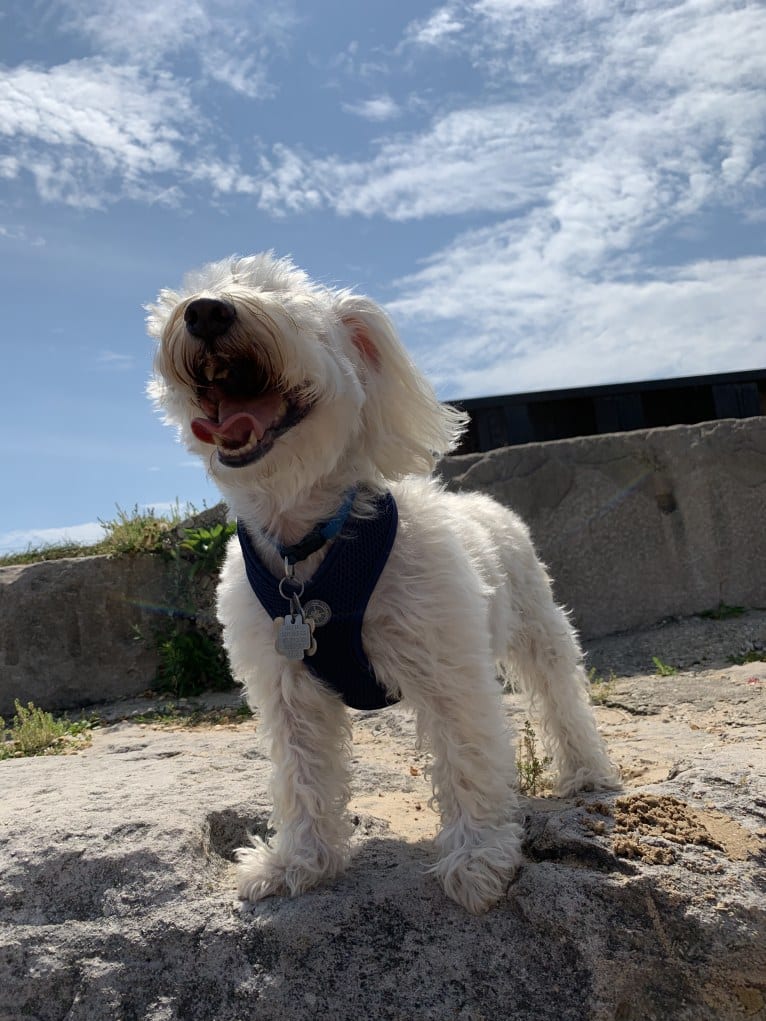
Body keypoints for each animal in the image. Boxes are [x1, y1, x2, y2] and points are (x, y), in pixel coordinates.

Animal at [147, 251, 620, 914]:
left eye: (291, 305)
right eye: (194, 290)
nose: (207, 312)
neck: (309, 546)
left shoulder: (448, 666)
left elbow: (468, 757)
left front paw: (477, 860)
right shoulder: (285, 684)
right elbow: (301, 774)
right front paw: (296, 863)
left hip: (539, 625)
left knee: (561, 696)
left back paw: (586, 773)